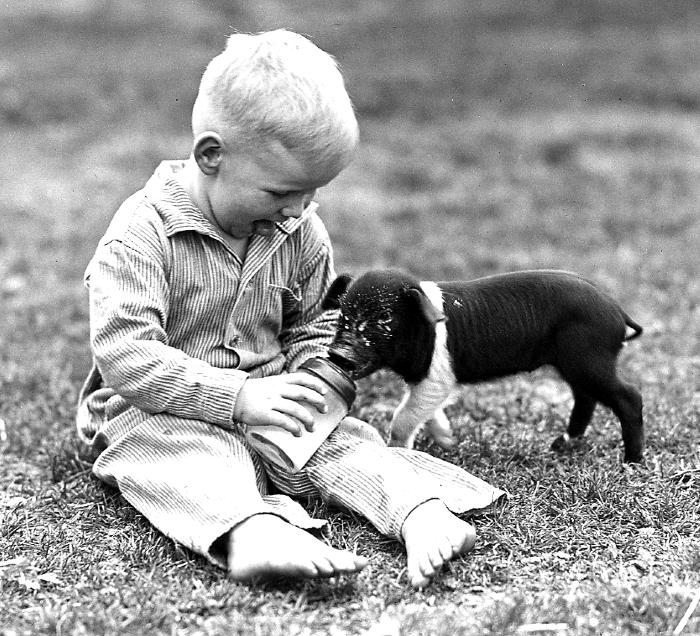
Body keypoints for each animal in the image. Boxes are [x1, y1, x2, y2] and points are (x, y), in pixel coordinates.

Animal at [322, 268, 644, 462]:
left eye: (385, 318)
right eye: (342, 314)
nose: (338, 353)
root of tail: (617, 311)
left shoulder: (436, 376)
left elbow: (403, 415)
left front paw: (397, 451)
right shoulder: (426, 382)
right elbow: (427, 411)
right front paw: (449, 442)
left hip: (590, 359)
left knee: (629, 396)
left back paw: (631, 461)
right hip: (577, 364)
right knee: (585, 397)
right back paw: (559, 444)